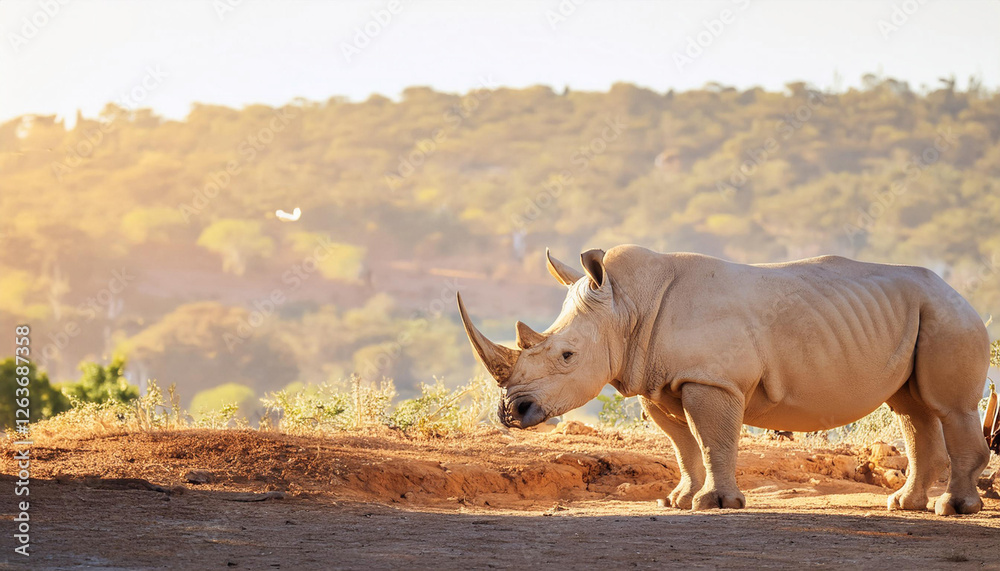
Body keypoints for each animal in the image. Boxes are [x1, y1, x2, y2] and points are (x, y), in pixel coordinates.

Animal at [457, 245, 991, 515]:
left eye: (567, 355)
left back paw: (953, 509)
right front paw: (677, 500)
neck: (626, 306)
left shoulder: (712, 380)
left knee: (948, 408)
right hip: (920, 313)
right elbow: (683, 445)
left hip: (949, 316)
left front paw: (716, 504)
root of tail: (959, 291)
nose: (511, 413)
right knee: (913, 410)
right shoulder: (659, 381)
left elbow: (713, 439)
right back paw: (904, 506)